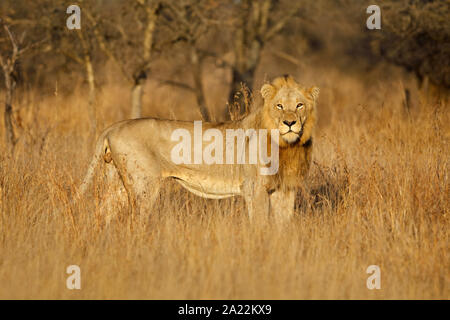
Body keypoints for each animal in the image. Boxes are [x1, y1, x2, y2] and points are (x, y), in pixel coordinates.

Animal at [78, 75, 316, 222]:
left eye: (299, 105)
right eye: (279, 106)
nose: (289, 123)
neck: (287, 145)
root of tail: (114, 126)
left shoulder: (286, 189)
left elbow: (282, 226)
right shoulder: (254, 188)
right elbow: (260, 225)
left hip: (116, 183)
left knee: (100, 213)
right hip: (142, 185)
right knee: (135, 220)